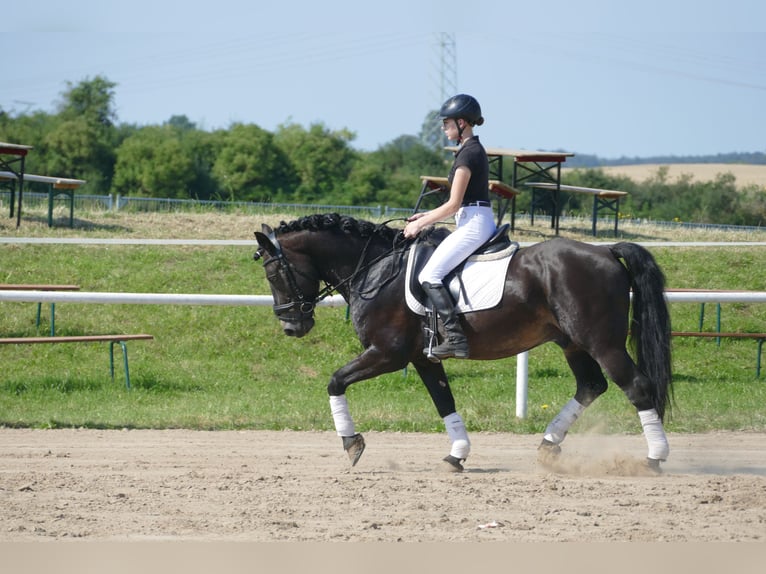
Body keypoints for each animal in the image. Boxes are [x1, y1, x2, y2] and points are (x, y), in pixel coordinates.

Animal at [254, 215, 672, 472]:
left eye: (274, 273)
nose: (292, 326)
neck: (375, 269)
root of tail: (605, 250)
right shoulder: (423, 358)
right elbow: (444, 402)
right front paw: (457, 454)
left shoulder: (386, 354)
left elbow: (335, 380)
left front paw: (351, 444)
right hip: (572, 342)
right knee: (591, 385)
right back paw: (548, 445)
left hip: (602, 342)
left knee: (637, 386)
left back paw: (654, 458)